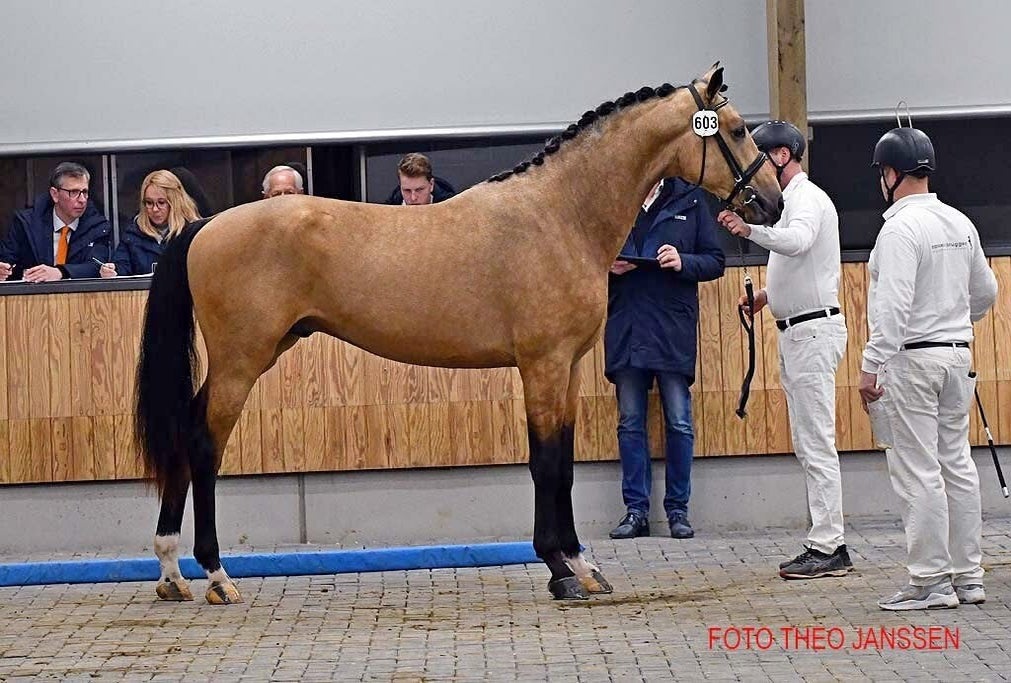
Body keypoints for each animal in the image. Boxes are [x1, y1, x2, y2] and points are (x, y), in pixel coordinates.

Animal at [135, 63, 783, 604]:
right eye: (733, 129)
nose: (772, 204)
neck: (559, 215)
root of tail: (203, 225)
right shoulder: (543, 364)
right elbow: (546, 462)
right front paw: (561, 569)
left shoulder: (569, 368)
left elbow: (565, 462)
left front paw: (580, 565)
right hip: (241, 362)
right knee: (204, 444)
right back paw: (215, 575)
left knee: (187, 437)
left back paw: (171, 574)